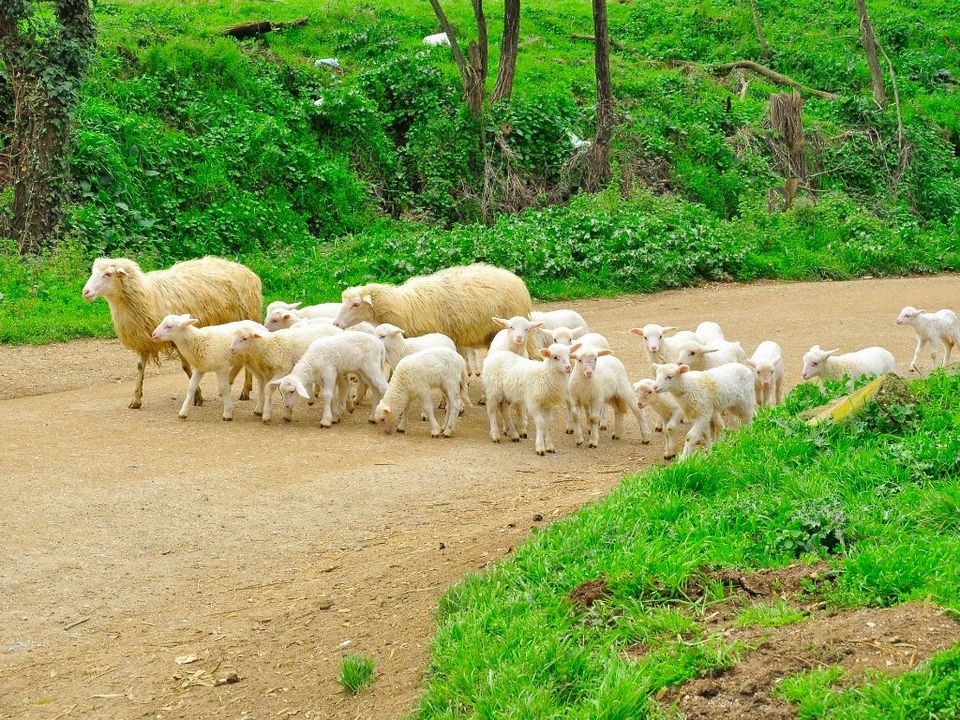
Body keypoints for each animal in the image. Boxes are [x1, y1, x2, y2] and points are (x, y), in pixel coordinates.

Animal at [81, 256, 262, 408]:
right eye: (93, 272)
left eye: (108, 274)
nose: (85, 292)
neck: (147, 295)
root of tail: (244, 269)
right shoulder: (145, 339)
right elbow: (140, 367)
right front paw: (136, 399)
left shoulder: (178, 336)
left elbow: (186, 367)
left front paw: (197, 396)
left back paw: (245, 390)